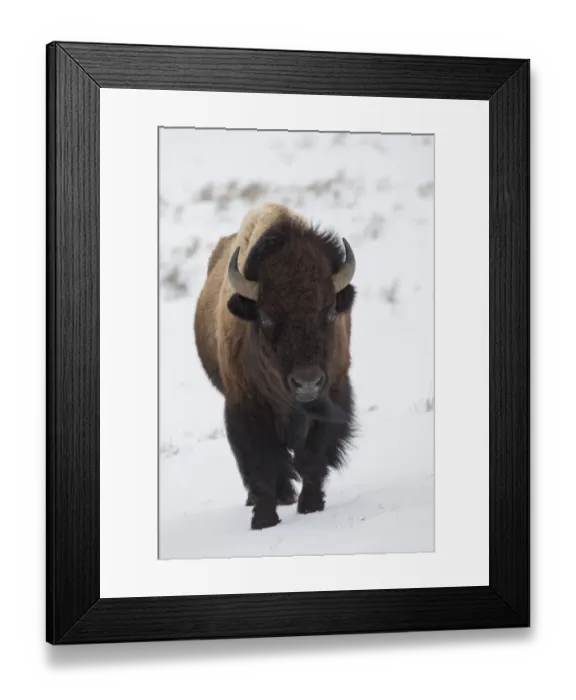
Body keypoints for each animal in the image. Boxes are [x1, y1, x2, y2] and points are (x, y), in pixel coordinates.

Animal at [194, 202, 357, 530]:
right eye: (267, 318)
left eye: (330, 312)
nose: (307, 382)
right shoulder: (246, 406)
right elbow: (263, 463)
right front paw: (264, 520)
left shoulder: (333, 393)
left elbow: (313, 455)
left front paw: (311, 506)